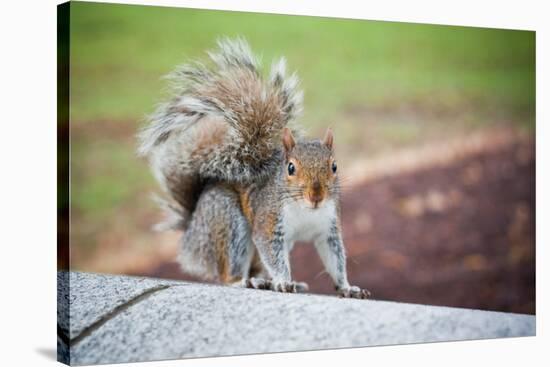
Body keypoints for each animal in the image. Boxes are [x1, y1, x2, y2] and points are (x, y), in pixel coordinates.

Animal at [138, 37, 370, 300]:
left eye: (334, 166)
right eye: (290, 168)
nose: (316, 196)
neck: (306, 211)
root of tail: (191, 234)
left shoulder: (328, 229)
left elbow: (335, 259)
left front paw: (347, 287)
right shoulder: (268, 224)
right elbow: (273, 255)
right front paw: (283, 282)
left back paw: (271, 282)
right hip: (228, 220)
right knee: (227, 274)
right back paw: (246, 281)